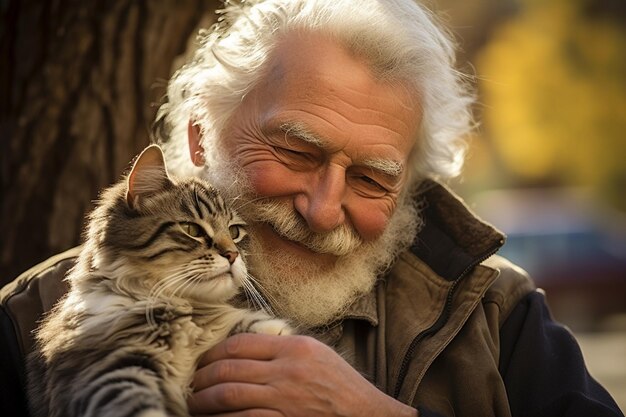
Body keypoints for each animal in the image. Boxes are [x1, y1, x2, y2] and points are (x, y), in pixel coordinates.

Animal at [27, 144, 292, 416]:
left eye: (234, 232)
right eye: (193, 230)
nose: (232, 255)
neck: (186, 310)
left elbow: (257, 327)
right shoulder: (111, 368)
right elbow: (139, 406)